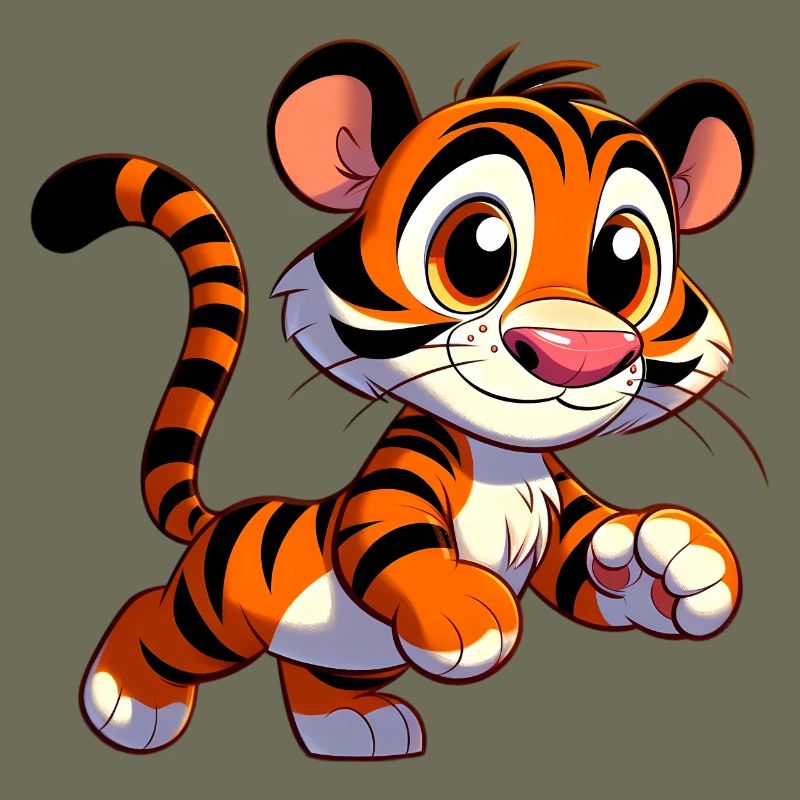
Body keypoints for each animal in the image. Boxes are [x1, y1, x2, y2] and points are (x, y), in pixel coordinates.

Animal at [31, 40, 754, 759]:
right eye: (477, 248)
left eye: (624, 260)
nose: (576, 353)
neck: (505, 462)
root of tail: (221, 518)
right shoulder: (404, 472)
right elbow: (386, 535)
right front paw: (465, 609)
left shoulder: (559, 508)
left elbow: (590, 562)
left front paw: (679, 564)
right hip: (213, 614)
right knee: (152, 616)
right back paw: (126, 703)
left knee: (310, 677)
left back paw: (356, 726)